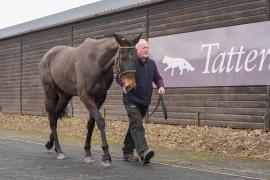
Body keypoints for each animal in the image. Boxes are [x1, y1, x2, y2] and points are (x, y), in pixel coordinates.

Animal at [40, 32, 142, 166]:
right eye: (123, 58)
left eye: (136, 58)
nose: (130, 86)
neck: (96, 62)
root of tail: (46, 56)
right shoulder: (85, 96)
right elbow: (100, 121)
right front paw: (106, 155)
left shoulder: (100, 97)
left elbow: (91, 123)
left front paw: (88, 152)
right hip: (50, 93)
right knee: (52, 118)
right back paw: (59, 150)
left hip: (65, 96)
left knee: (56, 116)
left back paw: (51, 144)